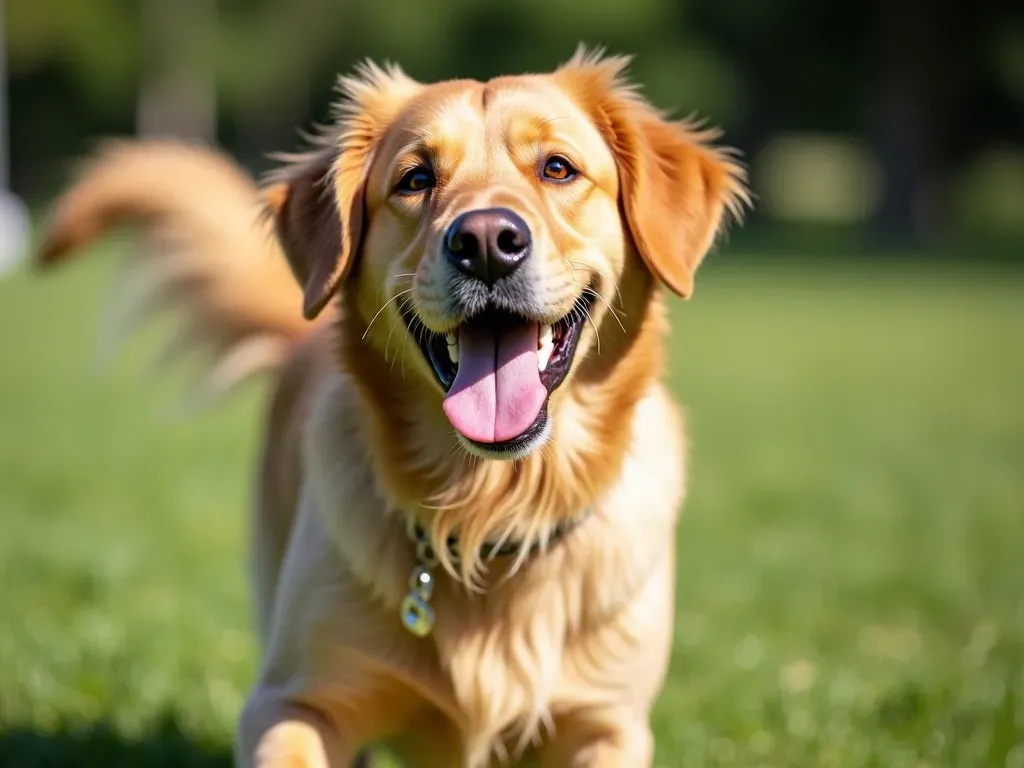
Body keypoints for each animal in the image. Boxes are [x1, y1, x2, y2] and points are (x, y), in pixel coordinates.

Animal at [37, 49, 745, 768]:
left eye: (557, 168)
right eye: (416, 179)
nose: (486, 241)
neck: (489, 512)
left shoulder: (608, 724)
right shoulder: (290, 700)